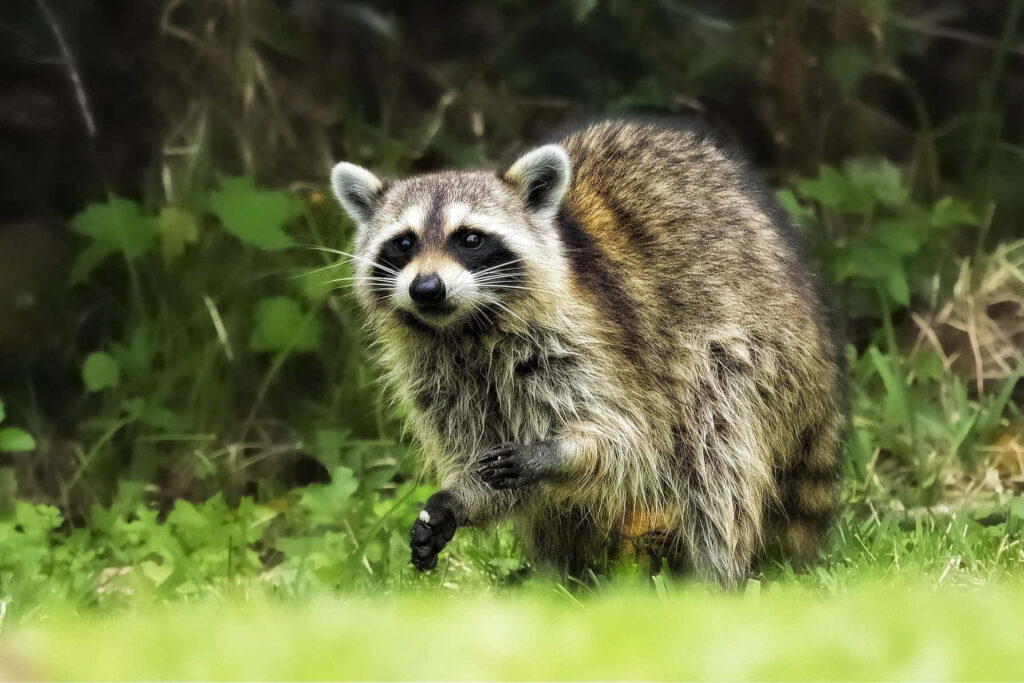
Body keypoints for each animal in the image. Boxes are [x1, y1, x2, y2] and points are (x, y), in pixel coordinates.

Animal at [329, 118, 847, 586]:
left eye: (470, 238)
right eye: (403, 243)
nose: (426, 289)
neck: (465, 330)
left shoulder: (600, 342)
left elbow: (634, 444)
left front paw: (559, 453)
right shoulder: (439, 378)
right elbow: (490, 469)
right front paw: (460, 498)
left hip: (756, 350)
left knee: (716, 447)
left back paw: (715, 578)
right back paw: (560, 578)